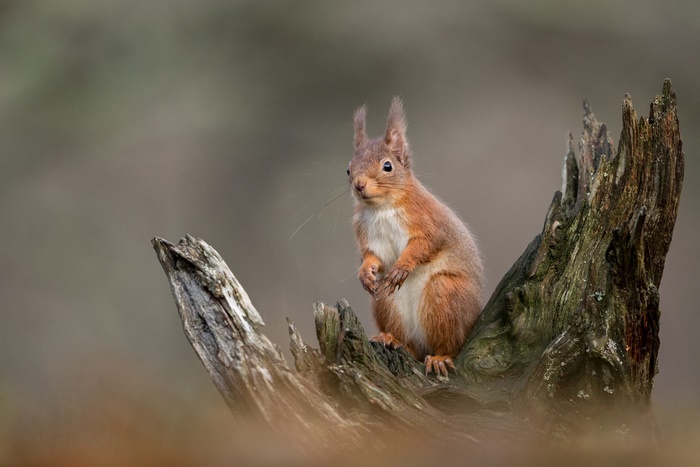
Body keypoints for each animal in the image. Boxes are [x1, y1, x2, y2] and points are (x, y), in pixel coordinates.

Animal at [347, 97, 484, 377]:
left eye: (387, 166)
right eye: (347, 170)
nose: (359, 184)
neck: (383, 208)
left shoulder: (429, 223)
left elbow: (424, 245)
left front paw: (402, 266)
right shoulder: (367, 233)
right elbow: (372, 256)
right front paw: (365, 272)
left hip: (446, 295)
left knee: (449, 343)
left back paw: (440, 357)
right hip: (385, 302)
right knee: (411, 346)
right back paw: (392, 340)